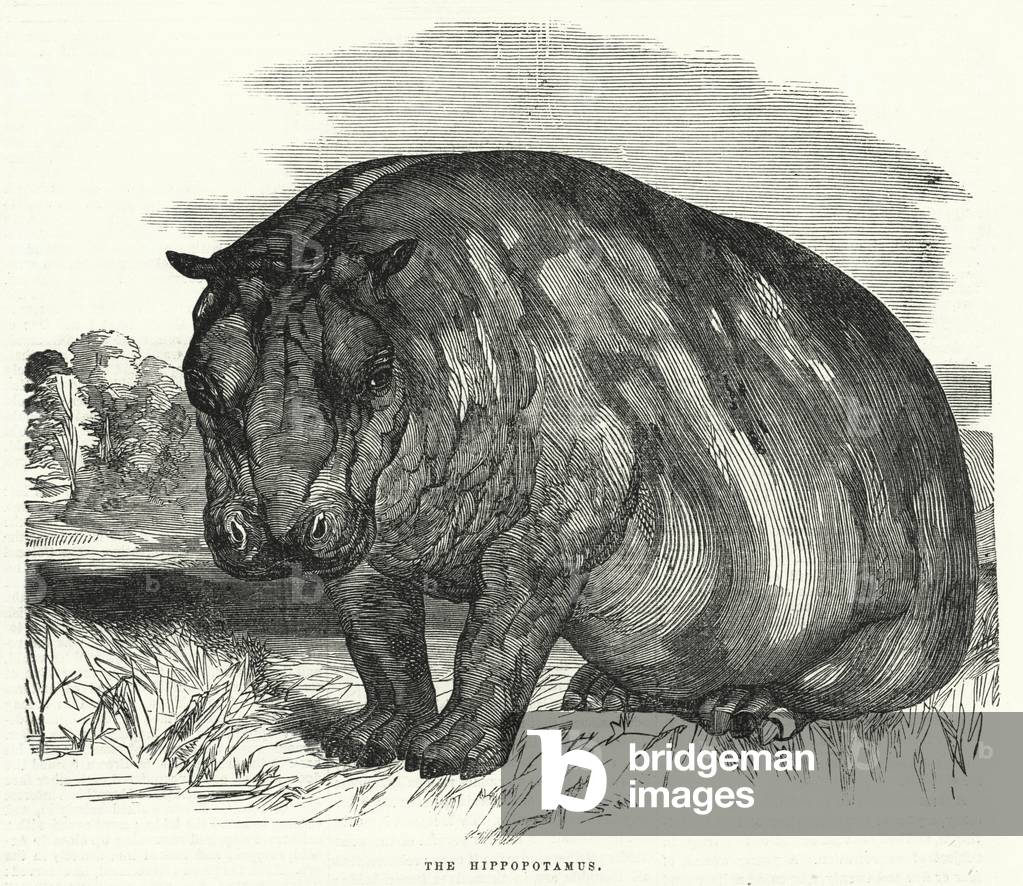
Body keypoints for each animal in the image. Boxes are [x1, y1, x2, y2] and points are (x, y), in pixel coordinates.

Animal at [167, 150, 977, 779]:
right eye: (199, 382)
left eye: (372, 372)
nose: (278, 531)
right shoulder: (364, 542)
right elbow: (378, 636)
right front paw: (368, 741)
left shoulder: (558, 515)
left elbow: (497, 638)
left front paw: (448, 757)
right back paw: (602, 693)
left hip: (904, 622)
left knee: (841, 683)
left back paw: (751, 710)